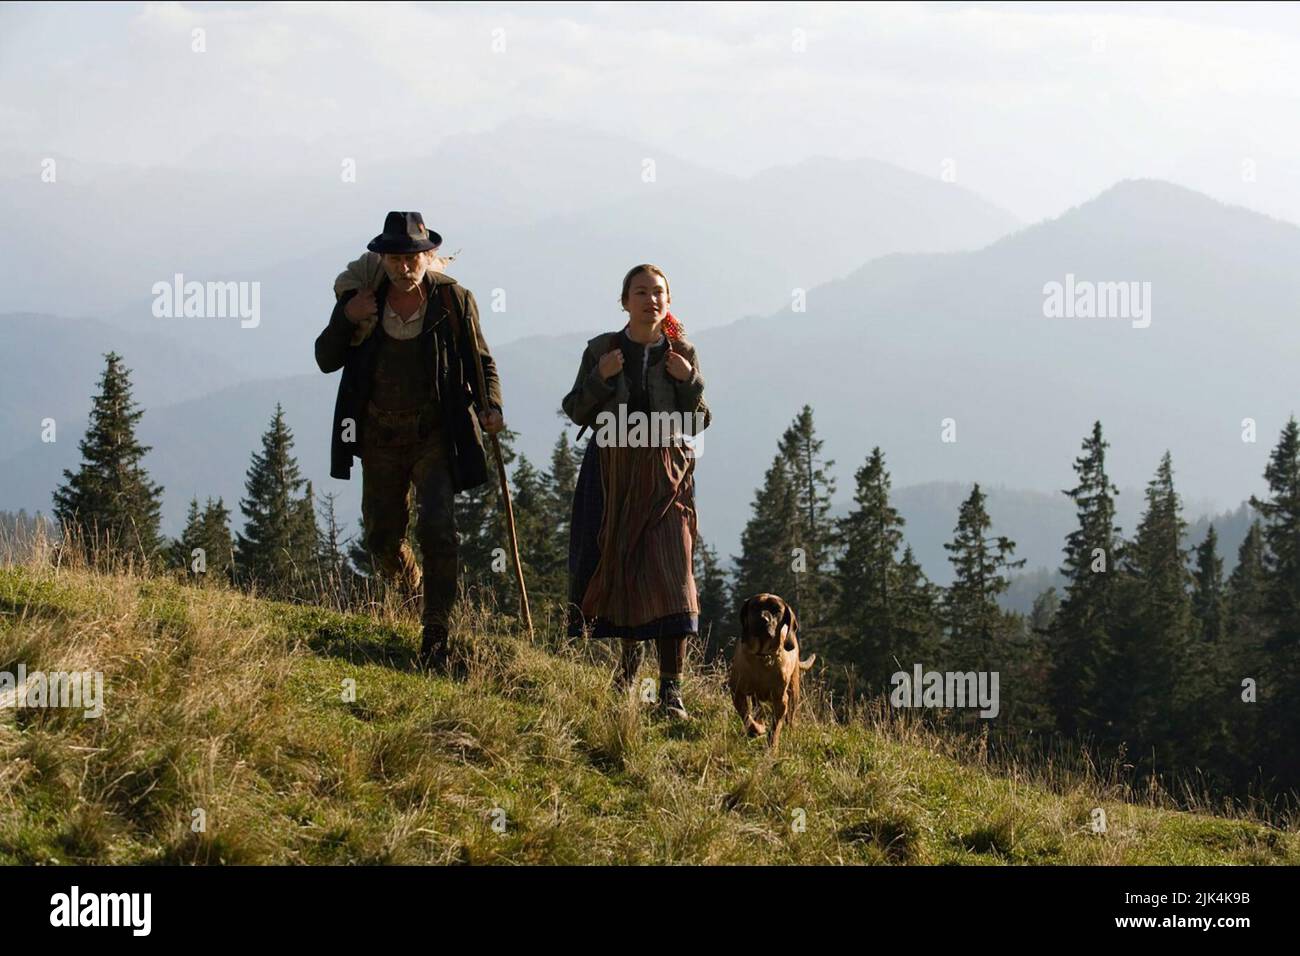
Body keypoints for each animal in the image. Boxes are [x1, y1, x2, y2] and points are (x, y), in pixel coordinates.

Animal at [728, 595, 816, 749]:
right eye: (755, 607)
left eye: (777, 610)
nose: (763, 619)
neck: (763, 657)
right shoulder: (737, 692)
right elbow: (746, 716)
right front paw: (756, 729)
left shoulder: (780, 699)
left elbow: (775, 727)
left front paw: (772, 747)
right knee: (757, 709)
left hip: (794, 690)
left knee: (790, 716)